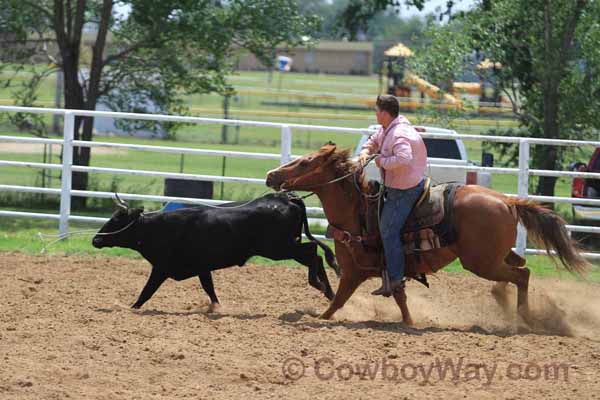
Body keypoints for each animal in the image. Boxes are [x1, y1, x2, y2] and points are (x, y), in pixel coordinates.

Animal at [92, 192, 340, 310]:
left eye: (116, 220)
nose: (96, 239)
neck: (162, 228)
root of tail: (286, 197)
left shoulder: (161, 268)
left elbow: (147, 291)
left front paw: (132, 307)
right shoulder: (202, 267)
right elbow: (209, 288)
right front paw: (216, 308)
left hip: (280, 248)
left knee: (313, 253)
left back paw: (320, 285)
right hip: (285, 246)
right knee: (316, 255)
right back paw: (330, 295)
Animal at [264, 144, 588, 324]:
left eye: (306, 162)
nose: (271, 175)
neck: (358, 214)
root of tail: (508, 201)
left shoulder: (355, 272)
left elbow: (337, 304)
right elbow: (396, 297)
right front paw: (409, 321)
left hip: (481, 262)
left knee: (522, 275)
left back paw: (524, 318)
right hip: (494, 256)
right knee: (521, 266)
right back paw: (504, 300)